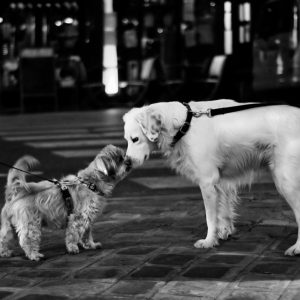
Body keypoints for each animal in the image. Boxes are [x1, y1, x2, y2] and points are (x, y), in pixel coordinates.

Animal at [0, 145, 131, 260]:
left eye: (124, 156)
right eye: (120, 159)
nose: (129, 160)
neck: (91, 183)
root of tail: (17, 190)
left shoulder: (88, 220)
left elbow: (87, 234)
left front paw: (91, 245)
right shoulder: (78, 218)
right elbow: (73, 234)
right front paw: (72, 248)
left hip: (8, 224)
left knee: (4, 238)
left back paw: (5, 252)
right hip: (31, 223)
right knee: (27, 239)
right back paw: (34, 255)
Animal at [123, 99, 300, 255]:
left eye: (135, 139)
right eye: (126, 140)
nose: (126, 162)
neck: (185, 125)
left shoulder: (207, 181)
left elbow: (211, 218)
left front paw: (209, 241)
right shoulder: (221, 182)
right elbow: (224, 212)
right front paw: (224, 232)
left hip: (285, 181)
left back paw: (296, 248)